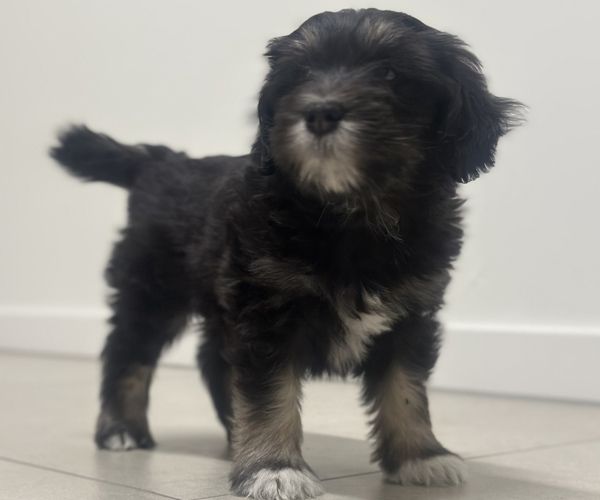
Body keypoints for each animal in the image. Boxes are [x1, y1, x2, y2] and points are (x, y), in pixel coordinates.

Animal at [50, 8, 523, 500]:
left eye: (390, 73)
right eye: (302, 75)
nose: (319, 111)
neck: (349, 212)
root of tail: (161, 160)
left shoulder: (410, 313)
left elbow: (405, 388)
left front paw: (420, 456)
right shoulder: (267, 309)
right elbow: (270, 393)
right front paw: (274, 468)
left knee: (211, 360)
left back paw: (231, 433)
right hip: (154, 286)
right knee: (128, 351)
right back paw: (122, 429)